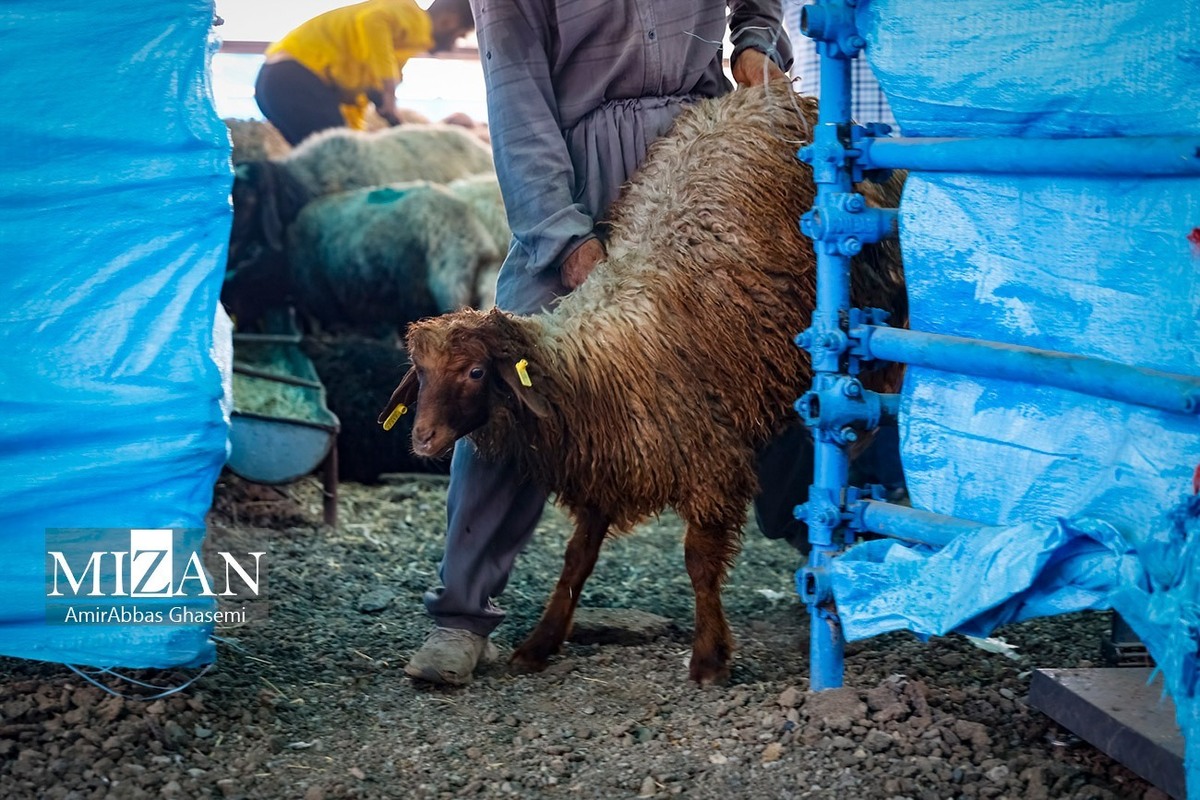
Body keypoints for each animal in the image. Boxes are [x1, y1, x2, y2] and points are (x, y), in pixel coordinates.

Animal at [379, 81, 902, 686]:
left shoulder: (710, 464)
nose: (422, 439)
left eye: (475, 371)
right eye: (421, 373)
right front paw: (541, 641)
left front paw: (709, 657)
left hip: (865, 267)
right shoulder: (605, 464)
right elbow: (577, 560)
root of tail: (769, 89)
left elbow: (699, 563)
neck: (598, 362)